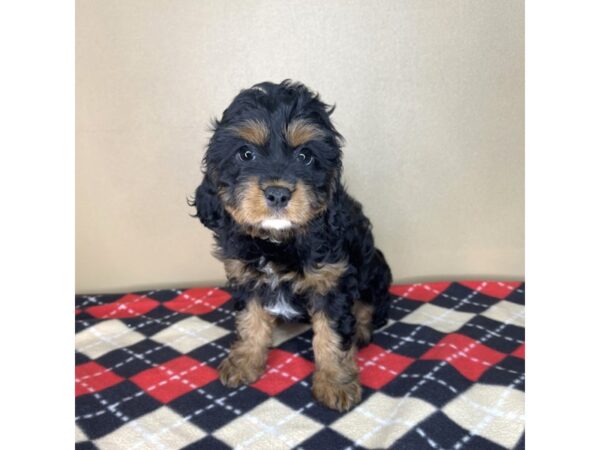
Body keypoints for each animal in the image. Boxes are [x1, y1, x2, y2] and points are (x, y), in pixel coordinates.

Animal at [193, 81, 394, 412]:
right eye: (245, 154)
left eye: (305, 156)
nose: (277, 193)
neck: (278, 241)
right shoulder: (246, 277)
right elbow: (250, 320)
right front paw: (245, 360)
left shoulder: (332, 281)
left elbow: (332, 335)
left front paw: (336, 382)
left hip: (373, 266)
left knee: (371, 302)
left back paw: (363, 328)